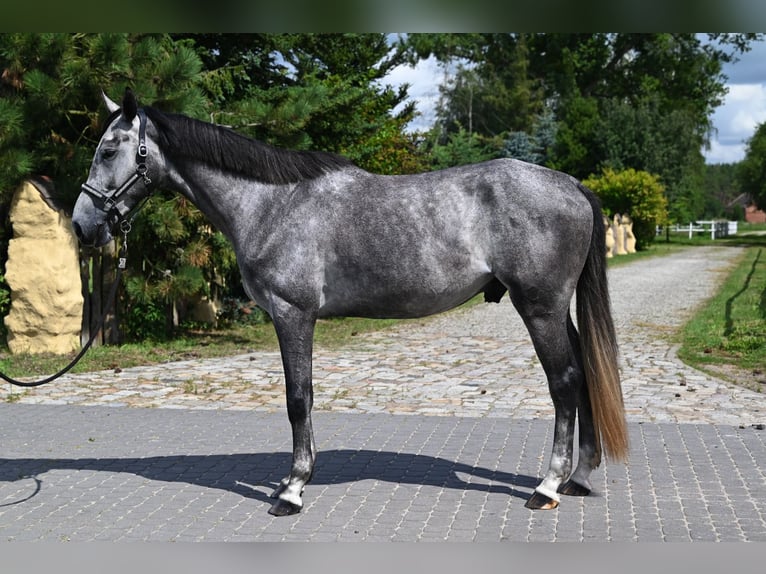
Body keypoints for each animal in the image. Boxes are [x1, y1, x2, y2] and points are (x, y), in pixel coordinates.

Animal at [72, 89, 628, 517]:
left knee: (564, 383)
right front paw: (290, 482)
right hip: (557, 310)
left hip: (539, 308)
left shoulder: (293, 314)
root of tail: (570, 184)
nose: (82, 225)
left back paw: (547, 486)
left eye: (108, 150)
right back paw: (579, 477)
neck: (272, 203)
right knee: (582, 374)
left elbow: (298, 398)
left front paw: (292, 490)